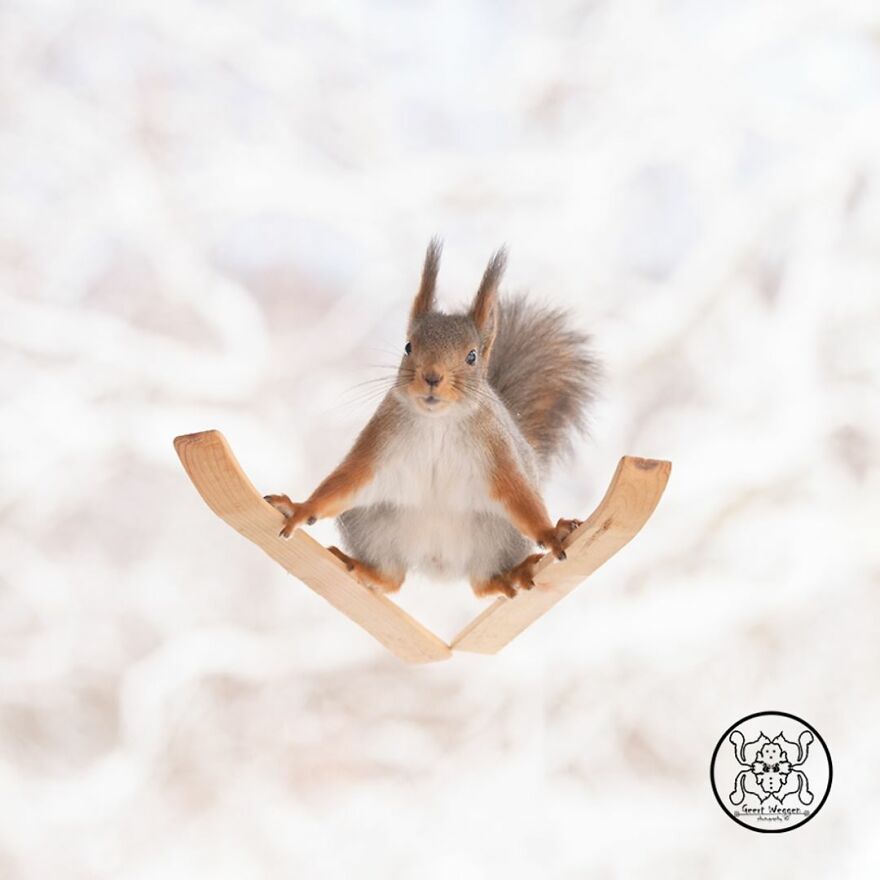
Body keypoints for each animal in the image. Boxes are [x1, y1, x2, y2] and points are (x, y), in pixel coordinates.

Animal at [264, 240, 599, 598]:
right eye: (408, 346)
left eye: (472, 356)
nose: (431, 377)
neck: (439, 421)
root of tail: (439, 566)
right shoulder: (380, 442)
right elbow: (346, 482)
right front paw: (300, 508)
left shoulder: (497, 454)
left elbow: (519, 498)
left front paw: (551, 532)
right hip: (376, 525)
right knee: (394, 578)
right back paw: (363, 568)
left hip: (496, 538)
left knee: (482, 584)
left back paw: (511, 575)